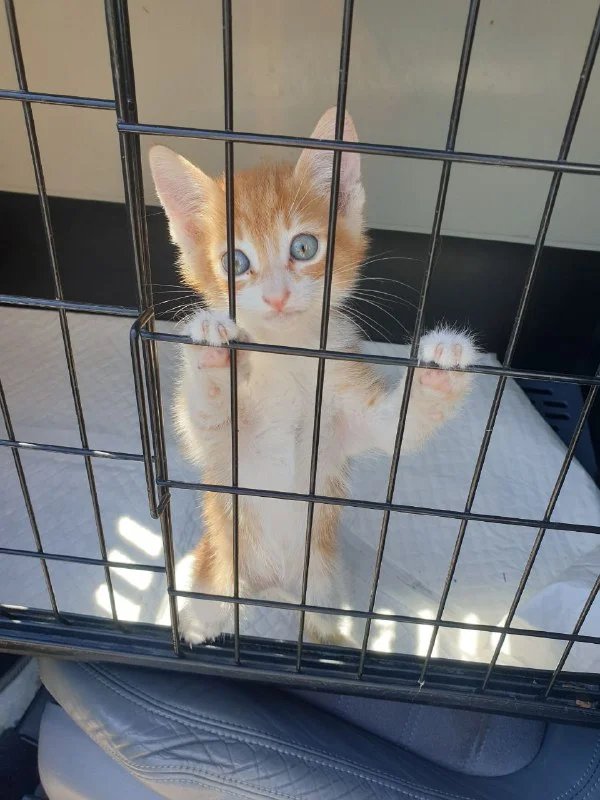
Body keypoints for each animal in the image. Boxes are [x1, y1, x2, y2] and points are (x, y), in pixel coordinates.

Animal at [148, 107, 477, 646]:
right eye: (234, 261)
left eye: (303, 247)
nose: (278, 295)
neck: (288, 358)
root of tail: (269, 589)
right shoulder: (224, 449)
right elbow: (205, 421)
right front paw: (212, 350)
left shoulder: (344, 413)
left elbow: (395, 428)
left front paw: (441, 363)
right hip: (215, 564)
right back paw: (196, 623)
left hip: (322, 582)